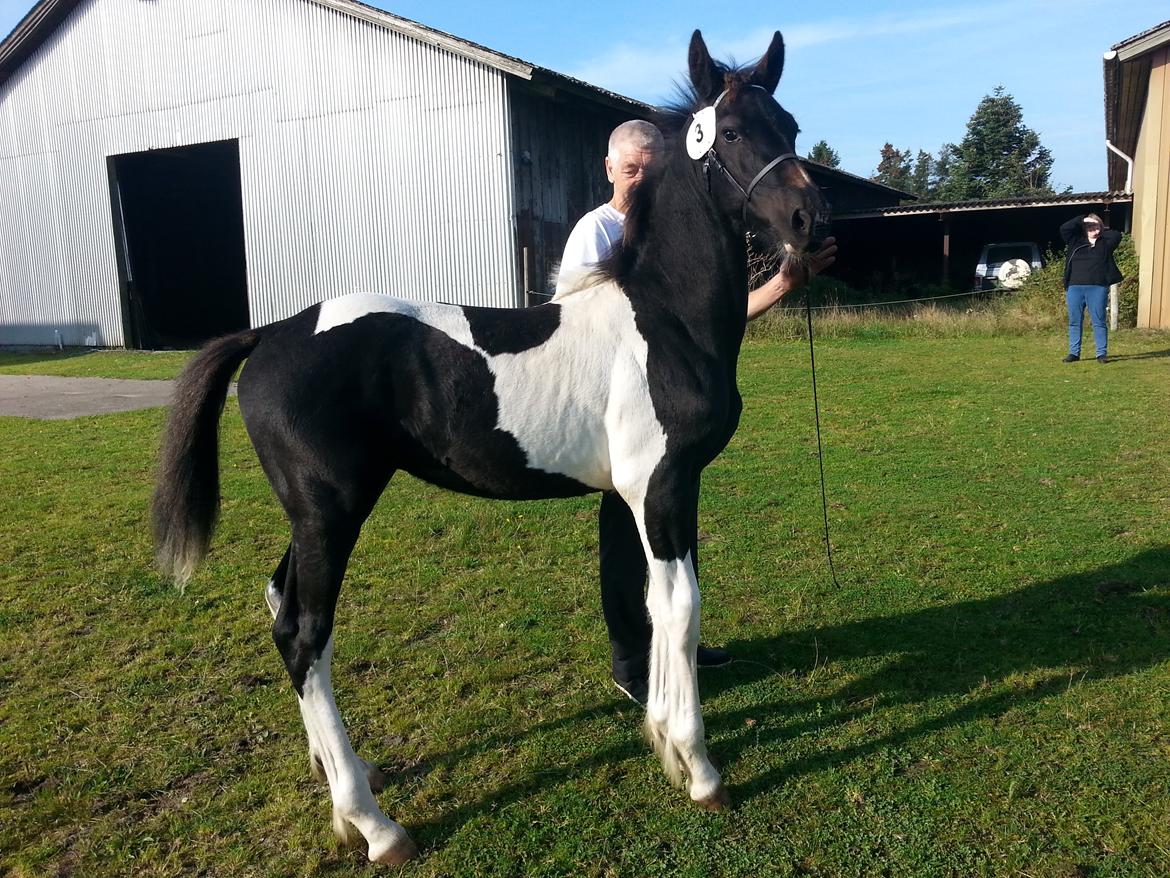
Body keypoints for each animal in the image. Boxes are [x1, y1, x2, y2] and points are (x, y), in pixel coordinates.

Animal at [153, 29, 825, 865]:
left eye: (790, 125)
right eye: (730, 132)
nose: (810, 221)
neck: (663, 321)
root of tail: (270, 334)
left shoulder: (668, 489)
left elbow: (661, 602)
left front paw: (670, 739)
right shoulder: (659, 487)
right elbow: (679, 607)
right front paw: (698, 768)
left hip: (313, 515)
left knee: (280, 604)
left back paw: (343, 774)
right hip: (330, 512)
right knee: (304, 633)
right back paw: (376, 825)